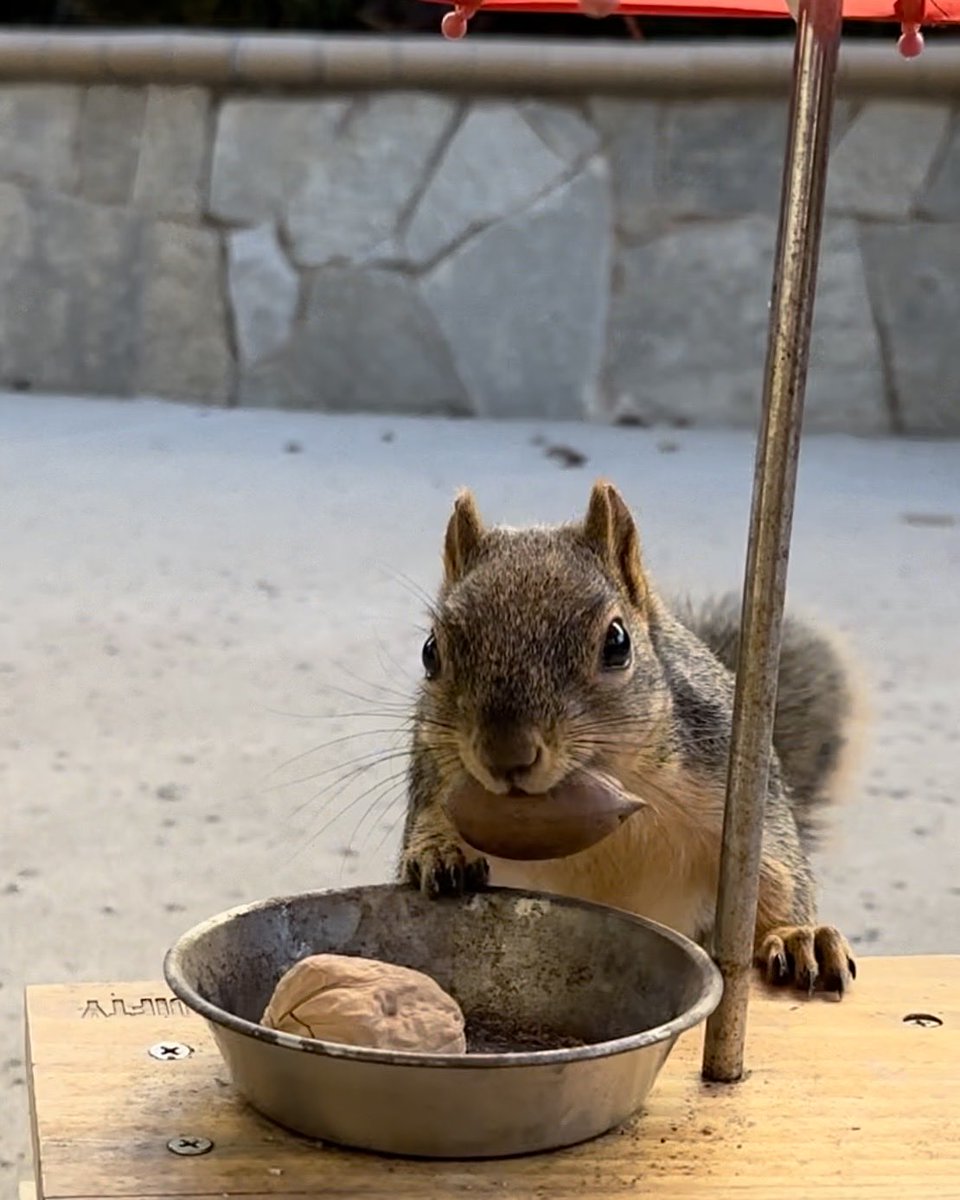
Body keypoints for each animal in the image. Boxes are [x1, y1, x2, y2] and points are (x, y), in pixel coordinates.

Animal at [400, 480, 863, 996]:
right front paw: (440, 852)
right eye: (430, 652)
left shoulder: (734, 786)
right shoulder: (435, 769)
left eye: (618, 643)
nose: (506, 756)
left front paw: (799, 936)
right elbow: (429, 819)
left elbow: (776, 873)